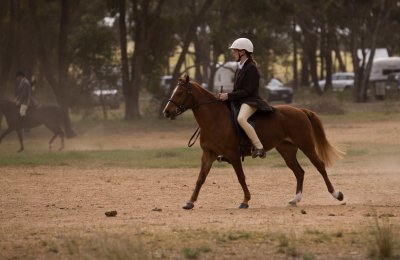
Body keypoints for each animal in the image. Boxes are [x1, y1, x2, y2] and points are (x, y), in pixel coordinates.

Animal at [164, 73, 346, 209]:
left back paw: (336, 194)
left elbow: (241, 177)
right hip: (287, 150)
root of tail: (300, 110)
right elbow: (200, 178)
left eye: (179, 93)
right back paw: (295, 199)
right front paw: (190, 202)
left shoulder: (233, 154)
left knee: (320, 166)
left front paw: (245, 201)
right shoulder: (208, 154)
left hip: (306, 145)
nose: (166, 112)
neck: (215, 119)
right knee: (299, 172)